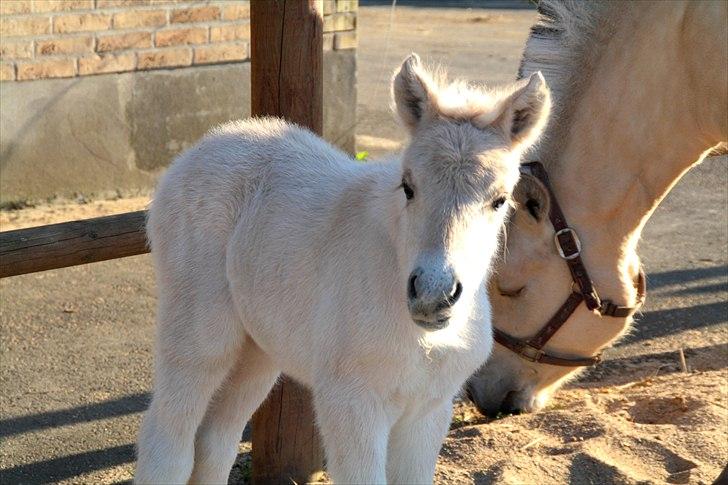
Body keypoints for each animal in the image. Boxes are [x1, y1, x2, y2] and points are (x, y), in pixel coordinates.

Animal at [134, 54, 548, 482]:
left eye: (500, 200)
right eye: (408, 186)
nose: (433, 295)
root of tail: (204, 146)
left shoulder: (428, 410)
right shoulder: (351, 404)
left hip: (258, 348)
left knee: (215, 443)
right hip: (199, 339)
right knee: (169, 442)